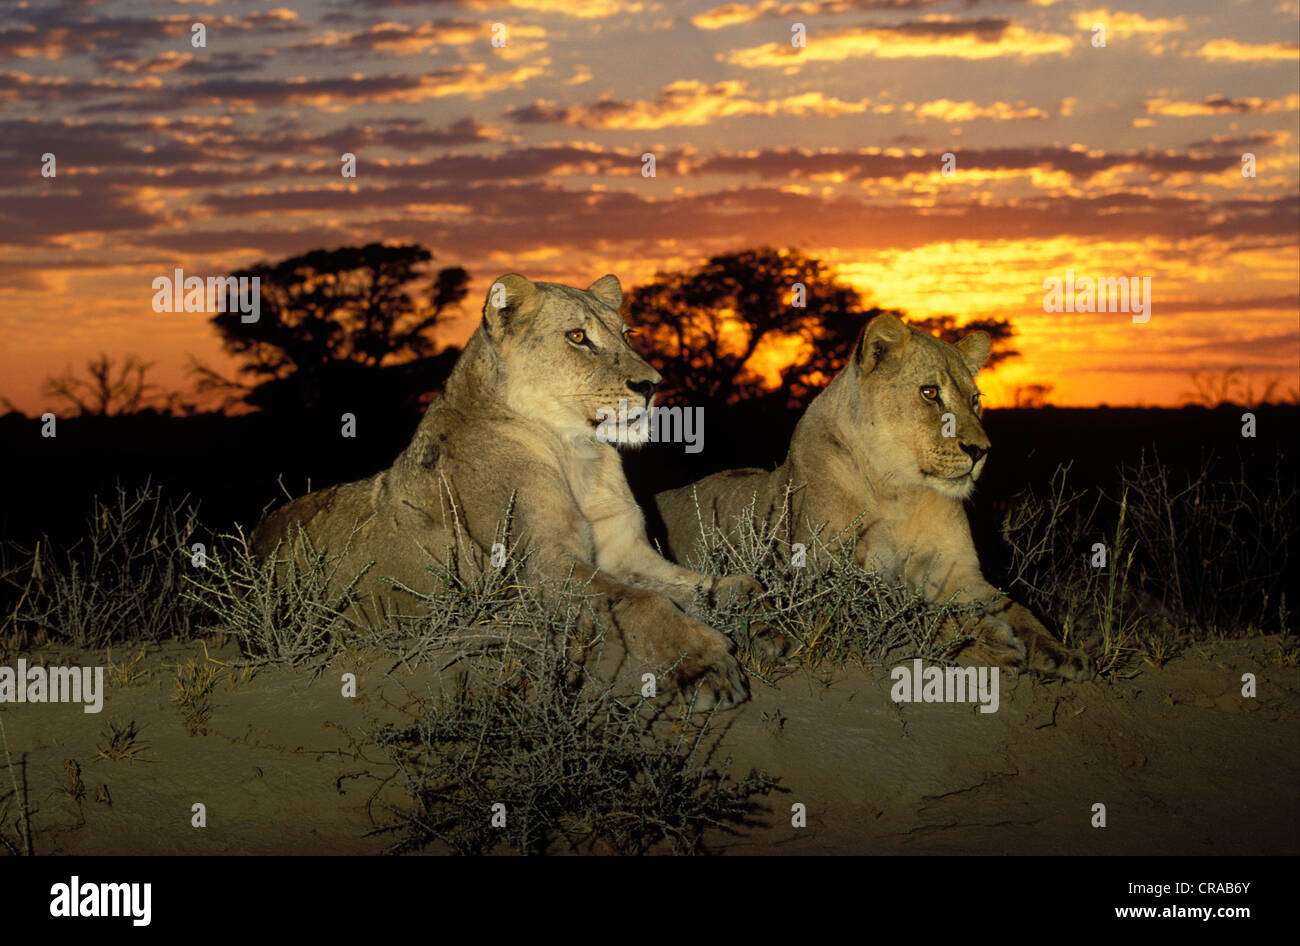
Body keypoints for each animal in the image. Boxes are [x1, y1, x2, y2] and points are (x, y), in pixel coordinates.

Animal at [251, 273, 755, 709]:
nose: (651, 385)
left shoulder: (624, 552)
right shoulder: (541, 569)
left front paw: (740, 591)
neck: (581, 456)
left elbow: (690, 583)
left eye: (626, 334)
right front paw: (708, 665)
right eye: (578, 337)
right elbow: (645, 603)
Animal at [655, 313, 1095, 679]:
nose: (980, 451)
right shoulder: (821, 575)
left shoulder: (960, 574)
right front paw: (992, 643)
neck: (901, 491)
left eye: (975, 400)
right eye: (930, 393)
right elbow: (909, 605)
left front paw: (1063, 652)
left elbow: (1017, 609)